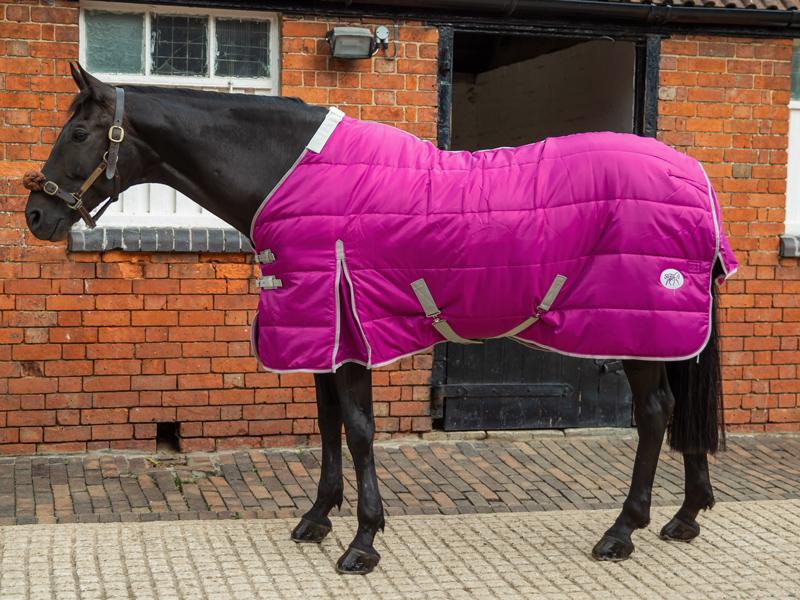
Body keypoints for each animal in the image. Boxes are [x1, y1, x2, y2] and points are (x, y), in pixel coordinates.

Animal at [24, 63, 733, 575]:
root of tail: (693, 177)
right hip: (666, 335)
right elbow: (329, 426)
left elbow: (361, 430)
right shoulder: (321, 332)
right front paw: (318, 519)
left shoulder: (347, 325)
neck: (292, 174)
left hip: (639, 331)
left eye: (79, 134)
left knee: (655, 415)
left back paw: (623, 530)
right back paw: (686, 518)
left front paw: (363, 541)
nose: (36, 214)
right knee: (680, 413)